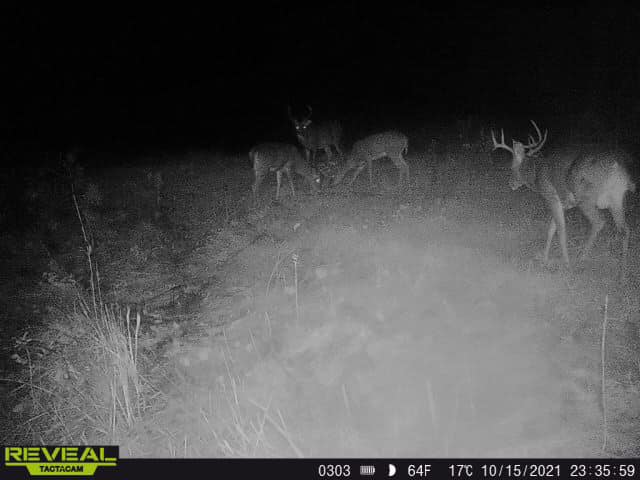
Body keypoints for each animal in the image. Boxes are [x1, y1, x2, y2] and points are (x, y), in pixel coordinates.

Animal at [492, 120, 635, 276]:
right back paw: (623, 273)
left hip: (586, 198)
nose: (510, 184)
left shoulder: (551, 196)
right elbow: (551, 228)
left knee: (599, 222)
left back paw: (581, 257)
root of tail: (616, 168)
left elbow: (560, 229)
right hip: (617, 198)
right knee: (624, 229)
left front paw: (565, 263)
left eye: (512, 167)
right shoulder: (564, 204)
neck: (536, 175)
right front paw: (544, 258)